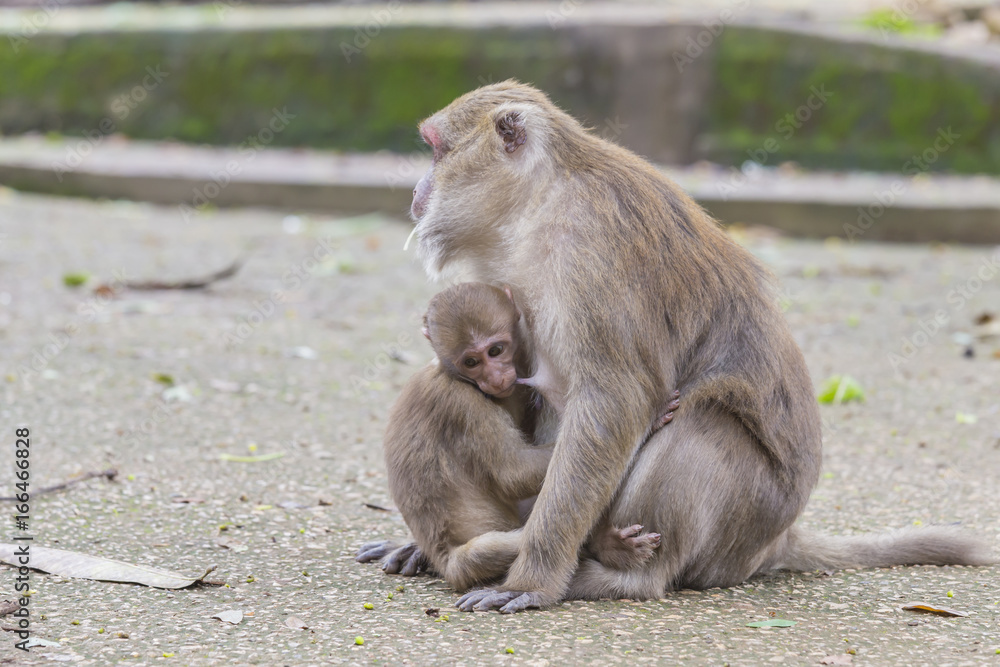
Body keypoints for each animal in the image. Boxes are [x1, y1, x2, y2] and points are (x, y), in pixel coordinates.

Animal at [357, 282, 679, 590]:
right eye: (471, 362)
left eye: (495, 350)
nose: (496, 378)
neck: (454, 377)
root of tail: (448, 562)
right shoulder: (463, 404)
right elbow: (512, 473)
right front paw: (649, 420)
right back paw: (603, 545)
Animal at [401, 81, 993, 614]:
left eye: (436, 148)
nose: (415, 190)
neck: (541, 198)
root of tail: (776, 541)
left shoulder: (588, 249)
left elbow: (615, 401)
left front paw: (533, 579)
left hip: (744, 525)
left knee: (703, 422)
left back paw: (624, 576)